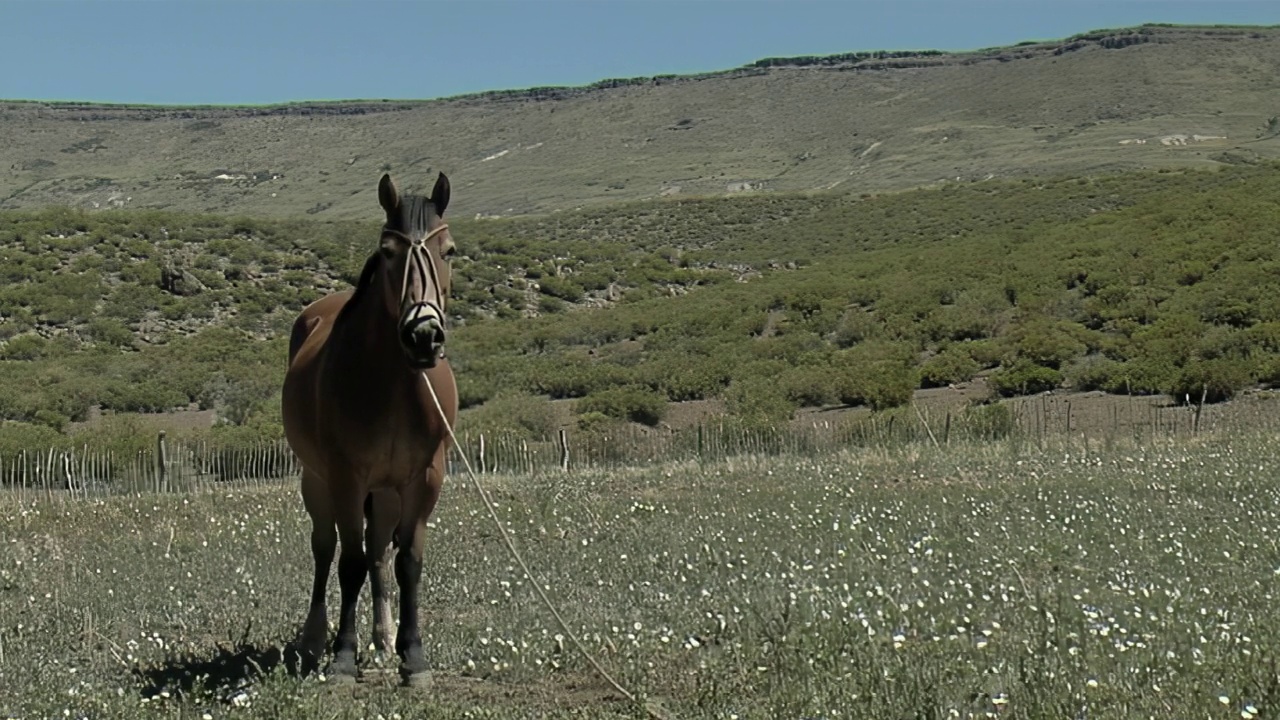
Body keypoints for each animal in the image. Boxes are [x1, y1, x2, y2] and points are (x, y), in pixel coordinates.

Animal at [280, 170, 460, 681]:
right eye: (388, 251)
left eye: (449, 251)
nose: (423, 336)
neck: (396, 384)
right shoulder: (345, 476)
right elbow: (349, 563)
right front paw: (343, 655)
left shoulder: (424, 479)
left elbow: (407, 562)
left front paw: (412, 655)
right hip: (317, 480)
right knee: (325, 549)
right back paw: (314, 639)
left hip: (386, 492)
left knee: (379, 552)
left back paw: (382, 636)